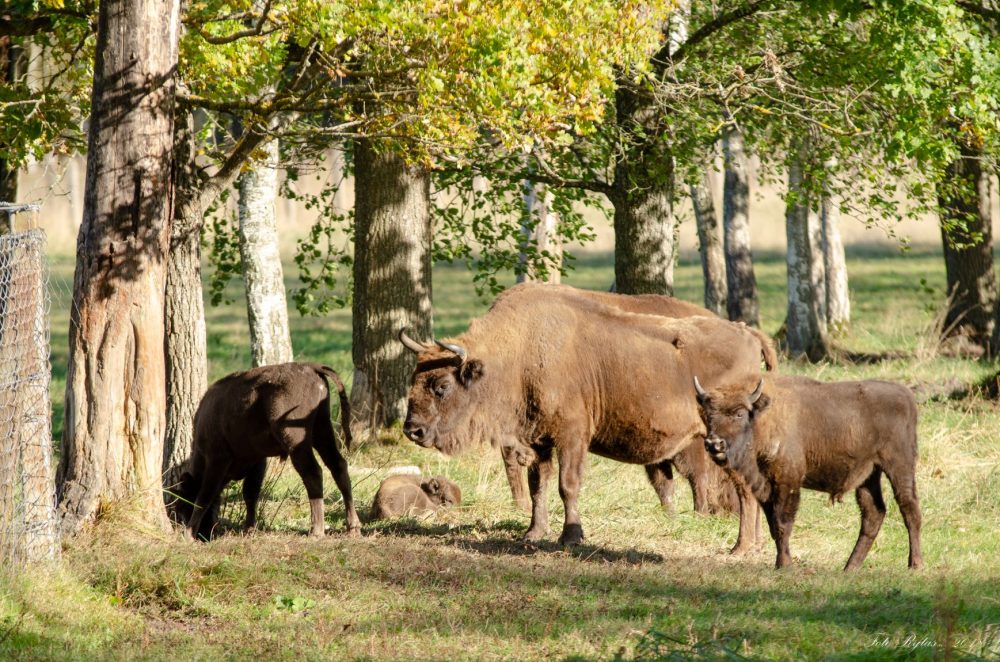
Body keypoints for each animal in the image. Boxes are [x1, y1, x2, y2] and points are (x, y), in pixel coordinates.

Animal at [173, 362, 361, 540]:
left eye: (184, 505)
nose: (204, 535)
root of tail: (310, 367)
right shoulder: (257, 460)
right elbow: (250, 493)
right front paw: (249, 529)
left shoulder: (217, 459)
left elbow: (204, 497)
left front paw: (188, 535)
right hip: (322, 429)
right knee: (338, 466)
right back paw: (353, 528)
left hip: (296, 440)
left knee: (313, 472)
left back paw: (317, 531)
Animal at [401, 282, 772, 547]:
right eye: (414, 379)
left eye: (441, 385)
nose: (412, 430)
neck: (519, 352)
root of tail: (749, 333)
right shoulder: (539, 441)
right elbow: (538, 486)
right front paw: (533, 533)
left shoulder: (571, 436)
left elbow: (568, 485)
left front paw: (571, 537)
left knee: (728, 484)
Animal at [695, 374, 923, 570]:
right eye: (709, 414)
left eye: (740, 413)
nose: (714, 444)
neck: (762, 418)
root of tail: (907, 395)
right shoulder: (765, 487)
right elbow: (773, 526)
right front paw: (781, 563)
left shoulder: (787, 482)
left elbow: (782, 523)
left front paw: (784, 565)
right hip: (868, 475)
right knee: (874, 513)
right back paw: (849, 568)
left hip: (899, 465)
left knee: (909, 508)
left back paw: (915, 565)